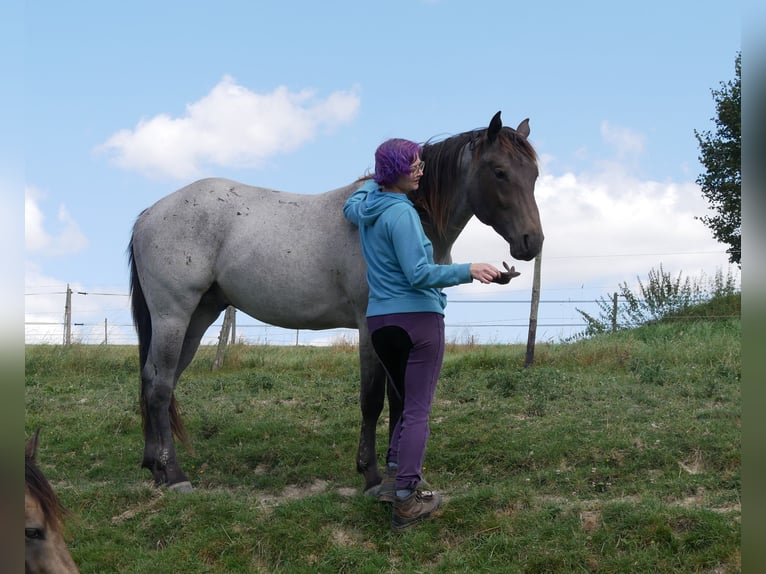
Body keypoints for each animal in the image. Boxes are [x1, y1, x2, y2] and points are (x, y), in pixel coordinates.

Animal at [129, 111, 544, 496]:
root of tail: (150, 214)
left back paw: (154, 467)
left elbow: (399, 399)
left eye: (534, 175)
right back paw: (175, 475)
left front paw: (397, 473)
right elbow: (372, 400)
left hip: (198, 316)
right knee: (161, 385)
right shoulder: (370, 327)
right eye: (499, 171)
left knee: (156, 380)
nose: (532, 242)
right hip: (173, 316)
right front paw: (372, 476)